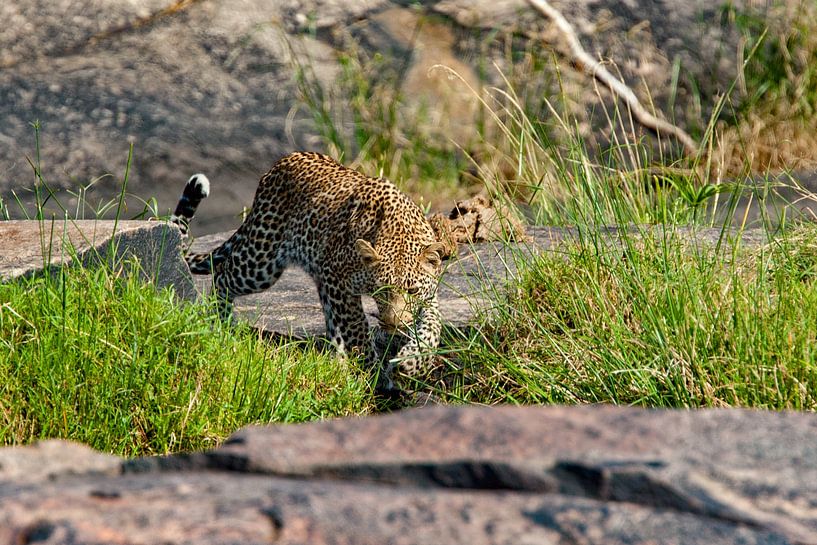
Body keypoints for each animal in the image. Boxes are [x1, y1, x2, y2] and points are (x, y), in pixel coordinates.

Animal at [171, 152, 446, 386]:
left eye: (412, 291)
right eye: (380, 291)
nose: (393, 324)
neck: (399, 232)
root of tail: (281, 162)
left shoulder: (429, 294)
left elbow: (432, 327)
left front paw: (412, 362)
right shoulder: (337, 279)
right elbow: (356, 328)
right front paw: (372, 370)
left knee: (333, 325)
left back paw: (337, 362)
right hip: (261, 261)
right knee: (223, 274)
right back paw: (223, 324)